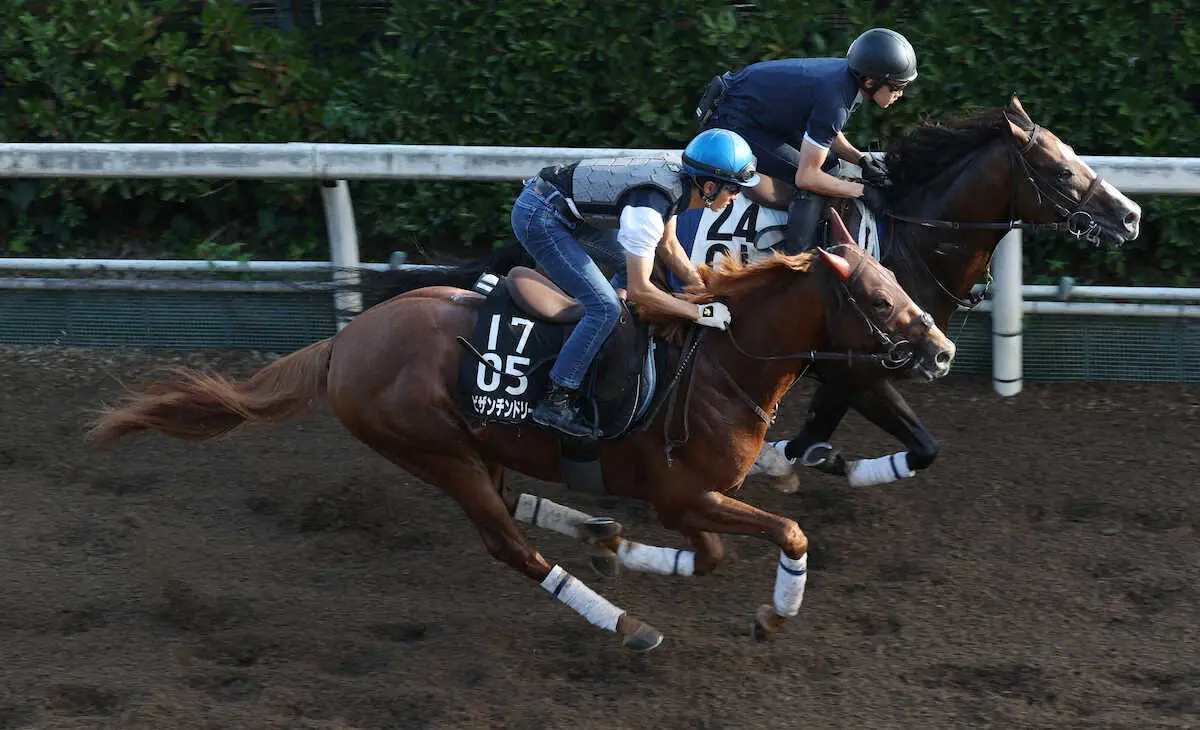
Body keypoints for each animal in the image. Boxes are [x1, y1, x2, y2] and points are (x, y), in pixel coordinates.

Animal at [88, 220, 955, 648]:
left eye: (898, 283)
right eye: (881, 302)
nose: (944, 350)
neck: (716, 365)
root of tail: (348, 341)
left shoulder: (688, 501)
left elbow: (709, 556)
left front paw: (627, 551)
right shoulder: (683, 495)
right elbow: (787, 533)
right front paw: (773, 614)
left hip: (478, 446)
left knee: (516, 507)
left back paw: (594, 533)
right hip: (435, 453)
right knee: (508, 543)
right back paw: (627, 625)